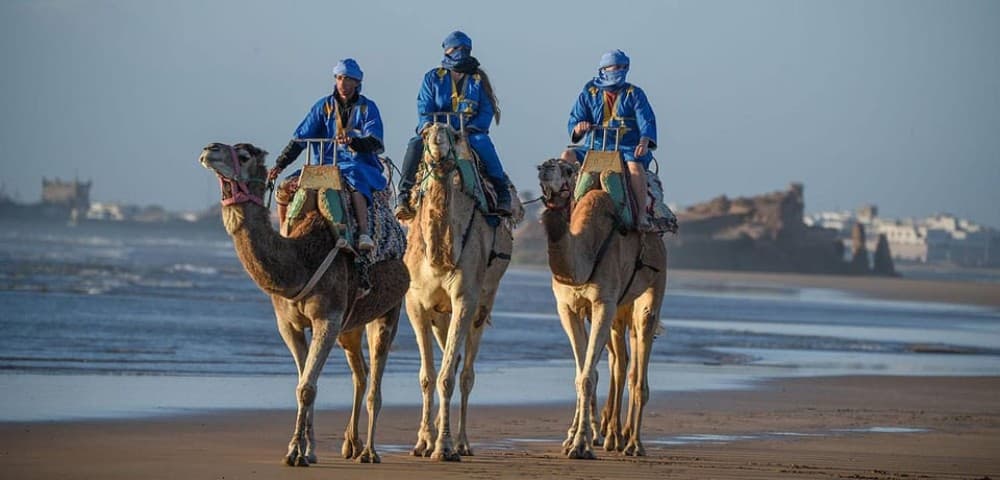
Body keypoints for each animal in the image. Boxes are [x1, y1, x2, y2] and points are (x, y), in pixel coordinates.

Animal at [199, 142, 409, 467]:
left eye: (244, 156)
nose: (210, 149)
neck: (299, 263)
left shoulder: (328, 318)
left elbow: (307, 387)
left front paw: (295, 452)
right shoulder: (289, 324)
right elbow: (303, 382)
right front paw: (306, 450)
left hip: (389, 311)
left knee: (375, 379)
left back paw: (370, 452)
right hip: (351, 325)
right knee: (360, 374)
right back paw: (352, 444)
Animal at [400, 122, 521, 461]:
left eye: (453, 135)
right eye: (425, 134)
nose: (438, 144)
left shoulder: (465, 299)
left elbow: (447, 377)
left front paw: (443, 447)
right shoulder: (415, 303)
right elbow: (428, 376)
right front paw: (423, 442)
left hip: (482, 304)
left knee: (465, 373)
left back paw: (462, 443)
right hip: (440, 315)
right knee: (450, 361)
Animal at [536, 157, 667, 459]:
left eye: (568, 170)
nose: (544, 168)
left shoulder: (603, 303)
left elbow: (587, 376)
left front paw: (580, 445)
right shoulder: (567, 308)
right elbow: (583, 374)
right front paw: (573, 438)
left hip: (653, 289)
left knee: (637, 369)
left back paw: (632, 443)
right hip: (620, 311)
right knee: (621, 362)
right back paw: (616, 436)